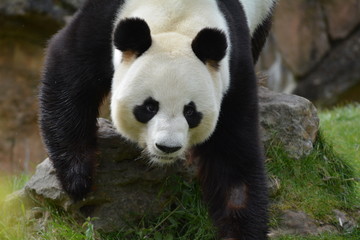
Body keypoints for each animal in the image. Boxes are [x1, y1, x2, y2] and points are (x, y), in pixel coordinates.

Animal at [38, 0, 276, 238]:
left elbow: (234, 155)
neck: (176, 17)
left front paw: (243, 230)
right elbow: (68, 75)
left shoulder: (232, 71)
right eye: (149, 107)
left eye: (190, 112)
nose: (167, 147)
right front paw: (77, 179)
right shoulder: (104, 22)